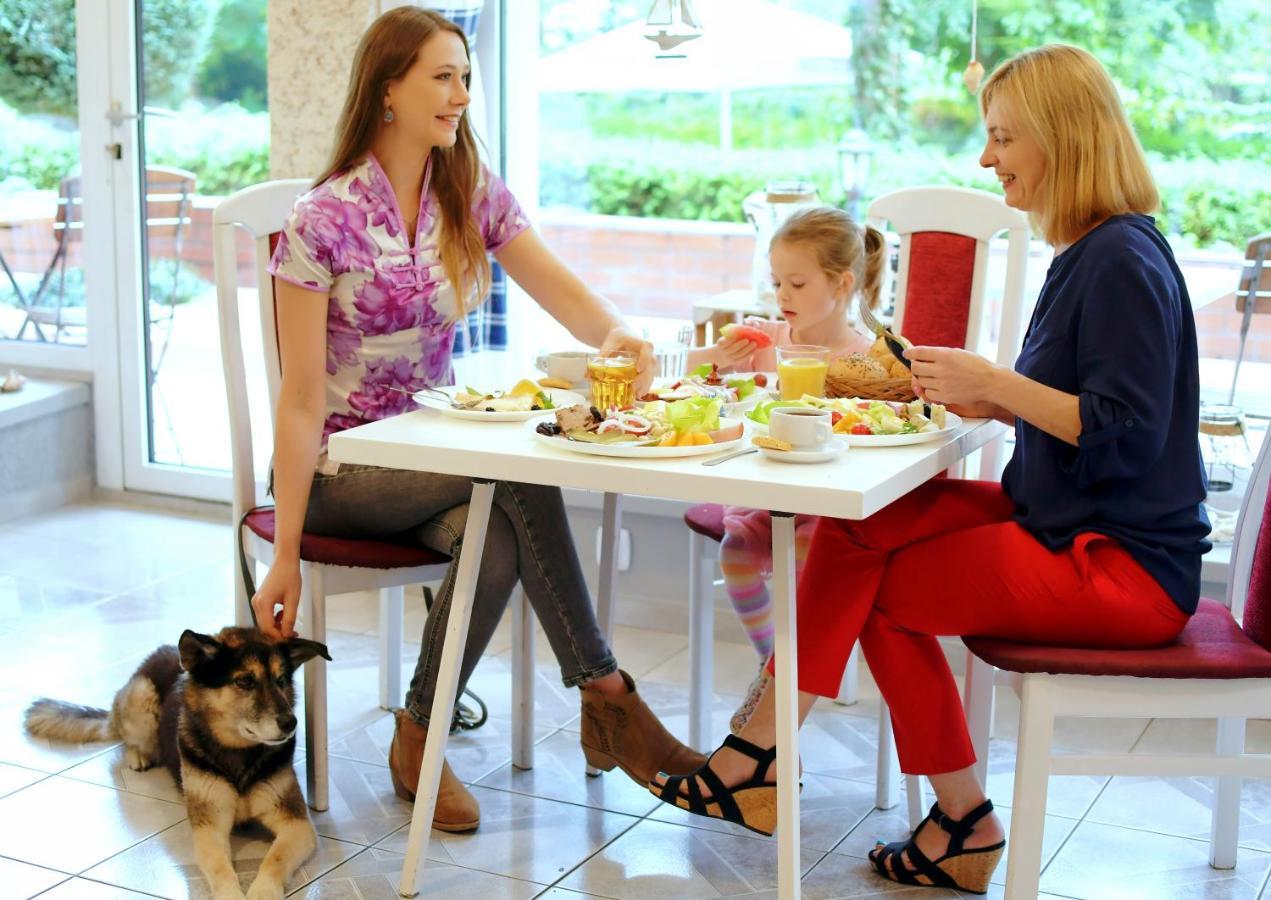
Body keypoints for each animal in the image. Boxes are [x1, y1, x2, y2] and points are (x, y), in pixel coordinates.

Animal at [27, 630, 333, 894]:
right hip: (141, 700)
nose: (290, 723)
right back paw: (139, 755)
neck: (238, 752)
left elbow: (273, 861)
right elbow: (220, 868)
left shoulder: (296, 825)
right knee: (127, 738)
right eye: (245, 681)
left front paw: (261, 893)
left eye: (281, 680)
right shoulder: (209, 827)